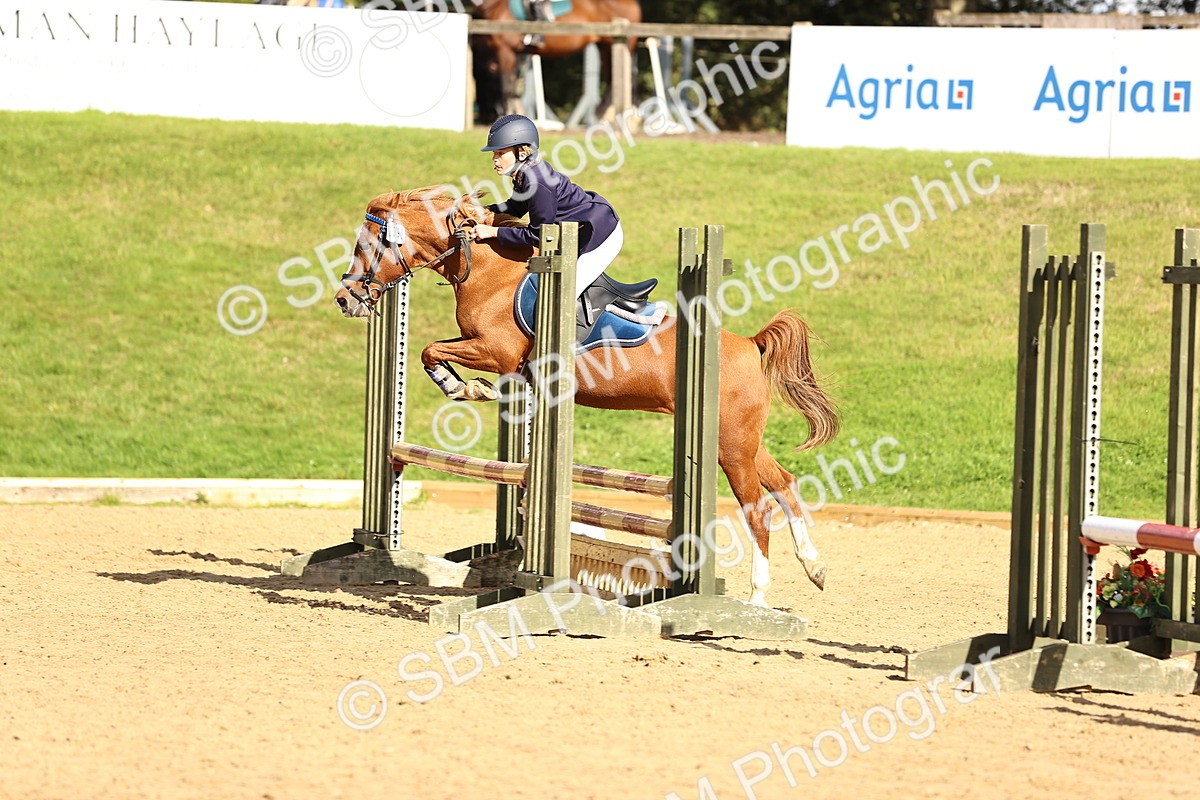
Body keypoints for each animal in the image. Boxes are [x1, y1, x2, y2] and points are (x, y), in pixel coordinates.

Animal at [333, 188, 841, 607]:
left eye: (370, 245)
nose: (345, 299)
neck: (490, 270)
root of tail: (750, 344)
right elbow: (433, 350)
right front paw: (466, 386)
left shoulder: (495, 351)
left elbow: (430, 349)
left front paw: (462, 386)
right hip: (741, 441)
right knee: (784, 484)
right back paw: (814, 567)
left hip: (730, 446)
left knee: (758, 510)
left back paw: (757, 599)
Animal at [473, 0, 641, 120]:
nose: (485, 115)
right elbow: (510, 87)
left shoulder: (505, 50)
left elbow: (506, 86)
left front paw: (505, 114)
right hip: (606, 46)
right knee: (612, 77)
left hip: (620, 43)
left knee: (623, 77)